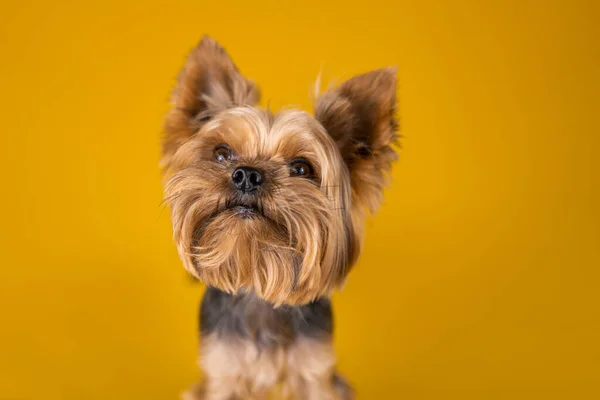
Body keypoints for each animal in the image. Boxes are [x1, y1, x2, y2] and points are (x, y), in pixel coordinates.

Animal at [162, 36, 400, 398]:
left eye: (301, 168)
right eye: (222, 153)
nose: (247, 174)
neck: (258, 275)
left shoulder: (317, 375)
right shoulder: (221, 375)